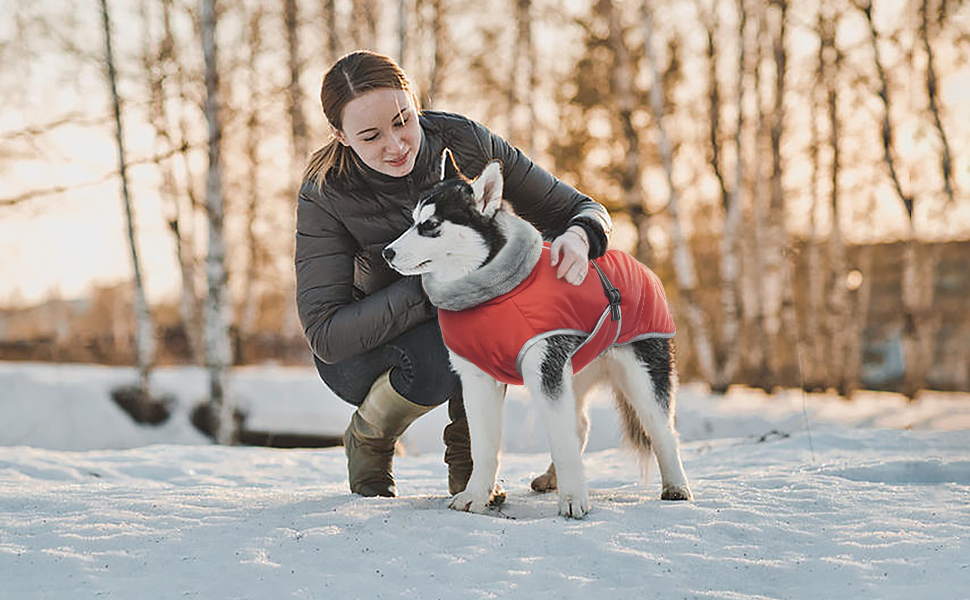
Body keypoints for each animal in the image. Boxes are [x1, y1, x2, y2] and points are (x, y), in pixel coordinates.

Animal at [382, 149, 692, 516]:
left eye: (430, 225)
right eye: (413, 220)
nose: (387, 253)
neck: (492, 294)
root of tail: (640, 265)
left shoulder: (544, 372)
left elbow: (561, 441)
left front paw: (573, 499)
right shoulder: (478, 378)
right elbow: (484, 446)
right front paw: (476, 495)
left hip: (641, 376)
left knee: (662, 430)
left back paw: (676, 485)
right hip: (575, 371)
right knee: (579, 427)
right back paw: (550, 477)